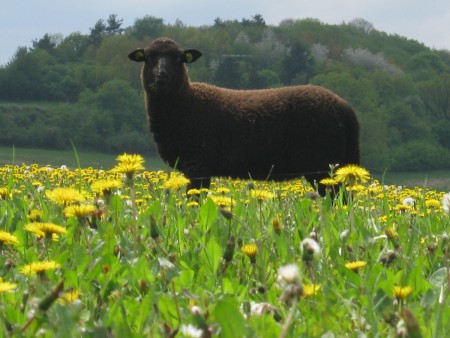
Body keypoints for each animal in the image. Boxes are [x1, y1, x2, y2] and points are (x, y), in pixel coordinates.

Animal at [128, 37, 360, 195]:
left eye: (179, 59)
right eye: (148, 58)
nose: (162, 76)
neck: (186, 103)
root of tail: (342, 105)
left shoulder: (198, 164)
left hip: (323, 164)